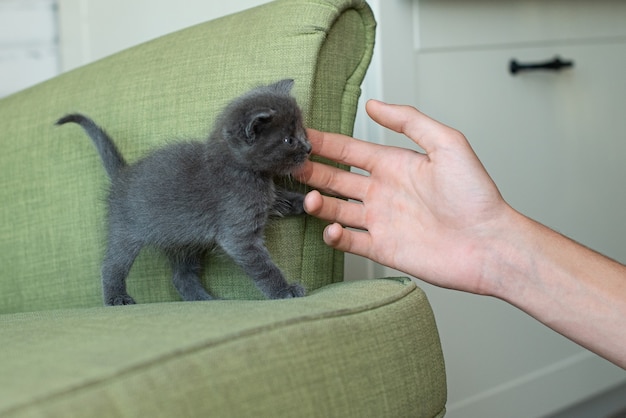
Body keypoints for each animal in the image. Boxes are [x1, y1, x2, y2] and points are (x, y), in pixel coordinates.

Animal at [57, 80, 310, 306]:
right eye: (288, 140)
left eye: (303, 131)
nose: (308, 148)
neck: (241, 171)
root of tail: (123, 175)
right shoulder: (238, 231)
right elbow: (262, 266)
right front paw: (284, 290)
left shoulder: (266, 199)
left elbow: (285, 198)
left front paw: (309, 201)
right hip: (126, 232)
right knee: (111, 265)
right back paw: (116, 298)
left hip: (186, 241)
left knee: (181, 277)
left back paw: (205, 300)